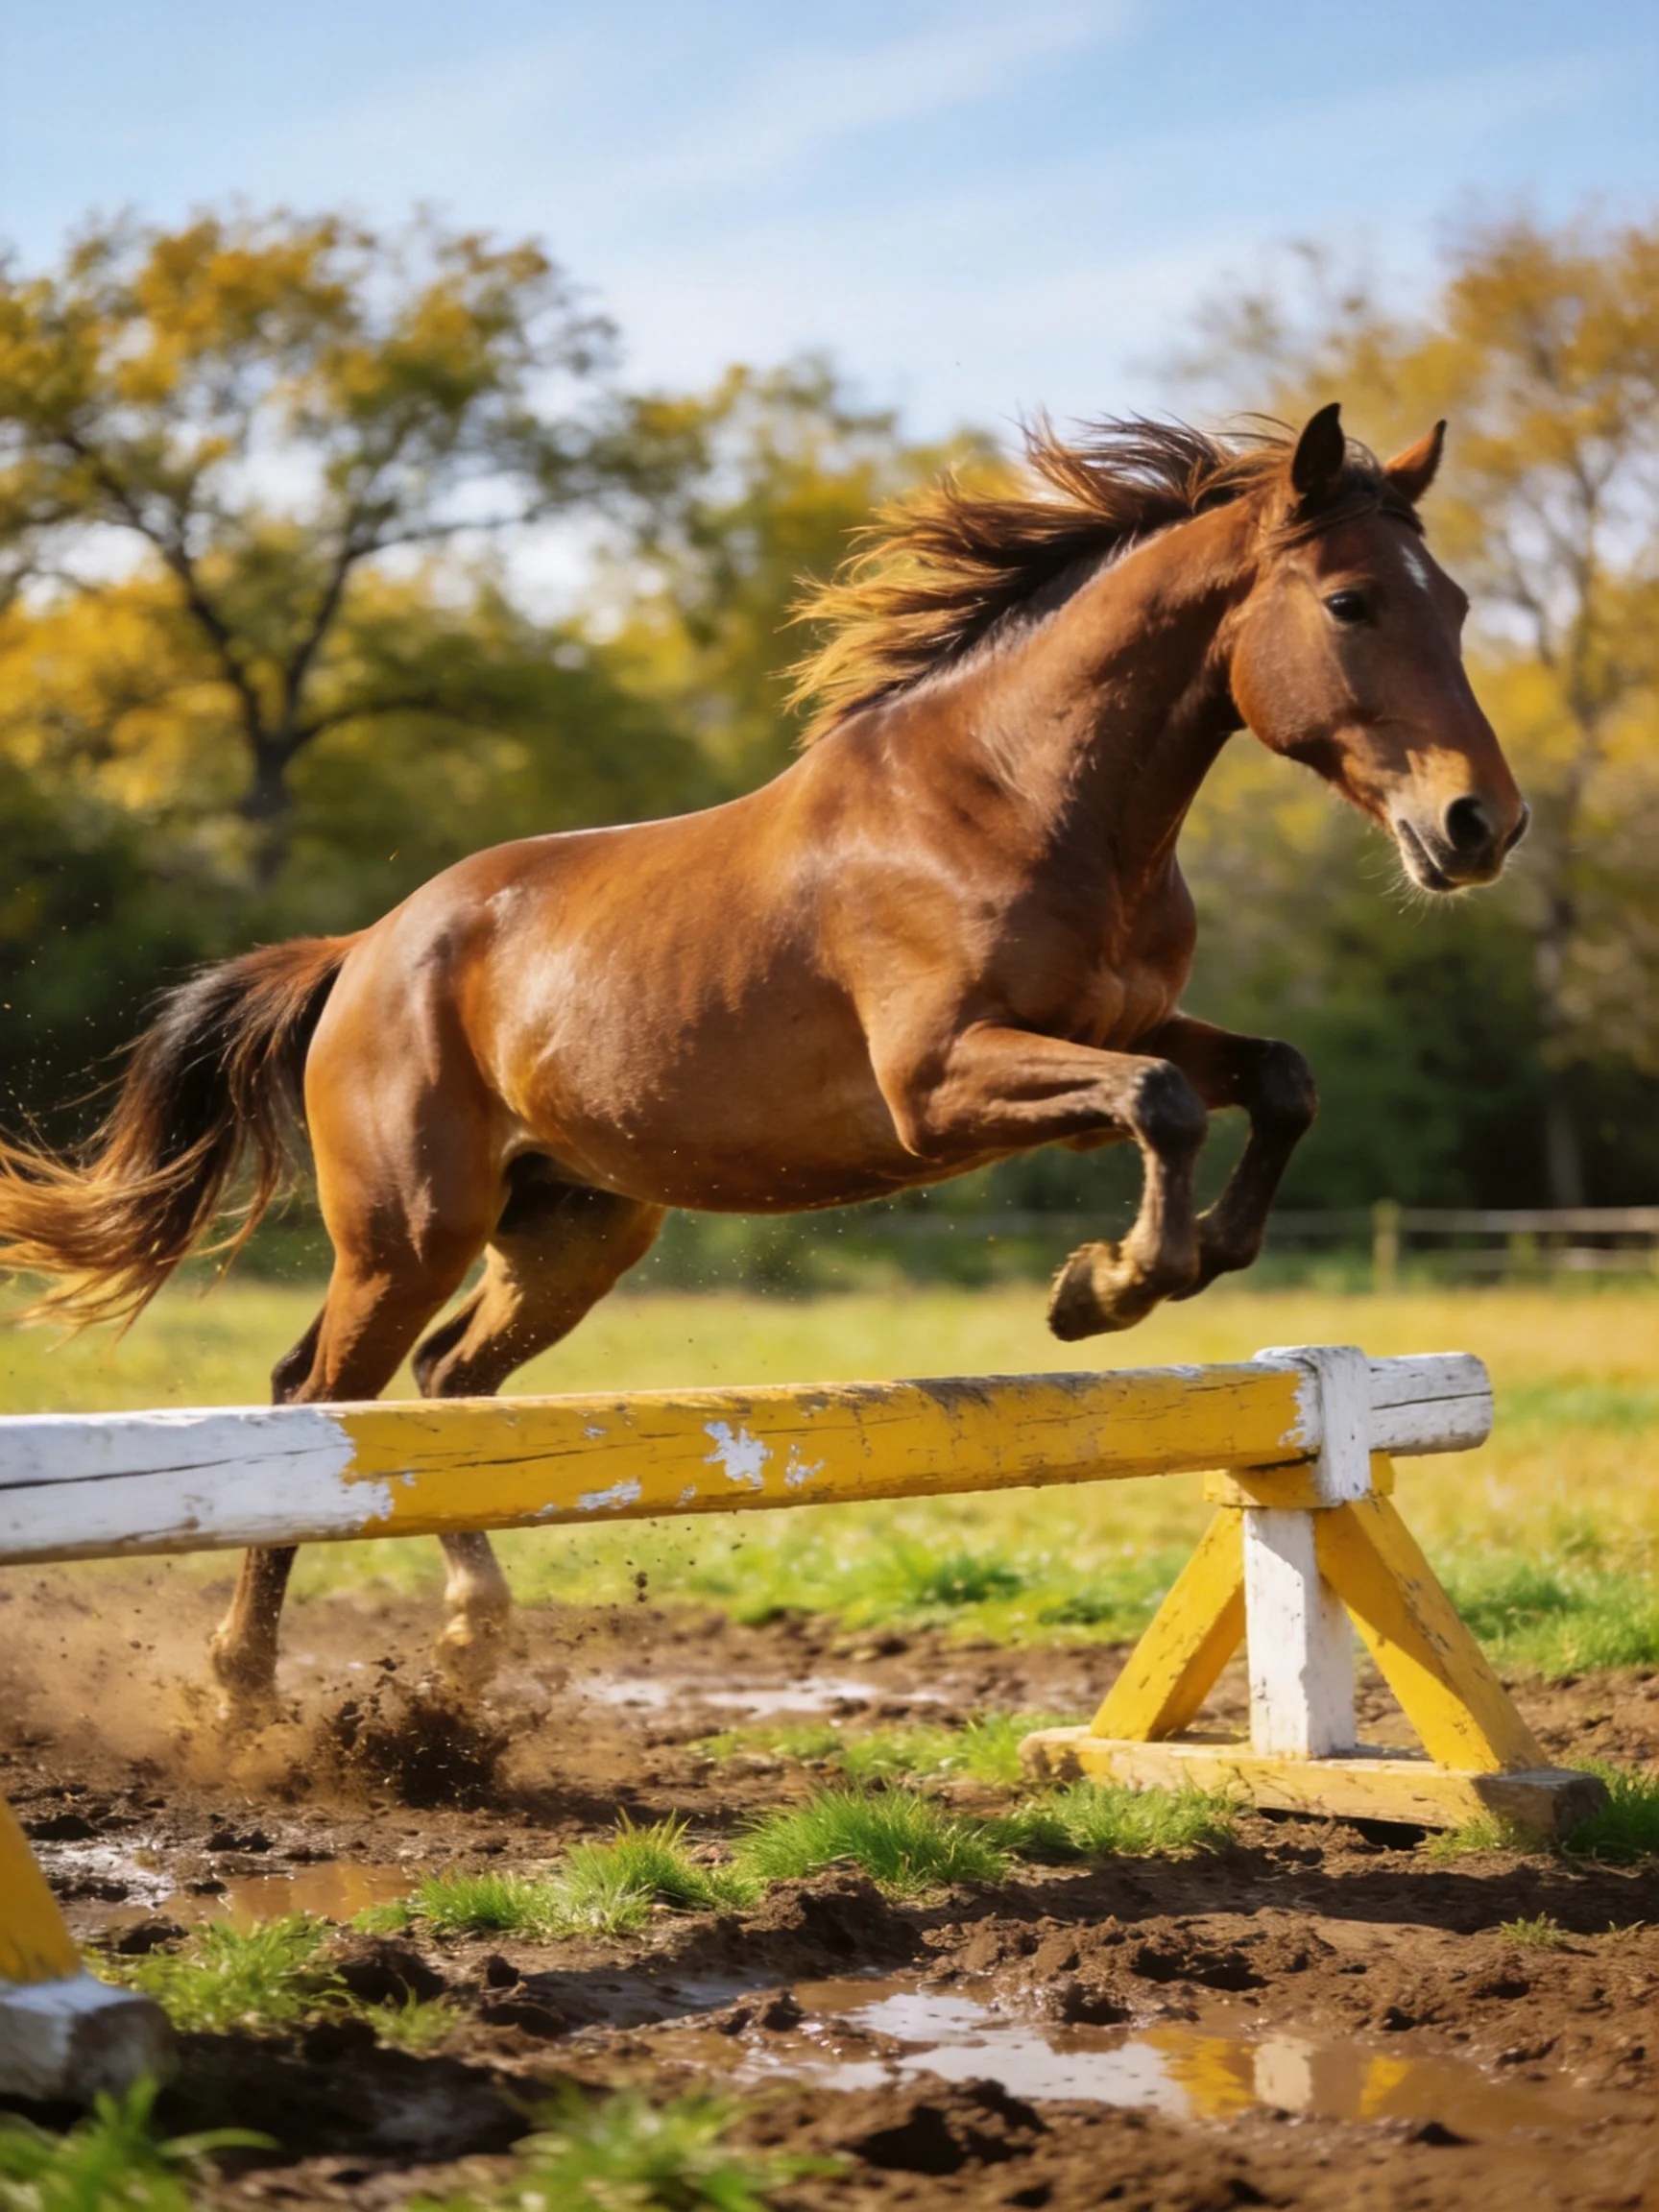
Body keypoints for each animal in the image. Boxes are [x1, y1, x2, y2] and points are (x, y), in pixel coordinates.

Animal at [0, 403, 1527, 1704]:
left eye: (1452, 604)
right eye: (1351, 603)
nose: (1482, 827)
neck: (1028, 798)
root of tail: (365, 951)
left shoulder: (1119, 1029)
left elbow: (1276, 1079)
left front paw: (1180, 1262)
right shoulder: (945, 1085)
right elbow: (1163, 1107)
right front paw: (1109, 1287)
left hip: (573, 1232)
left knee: (442, 1394)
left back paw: (470, 1641)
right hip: (409, 1228)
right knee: (320, 1400)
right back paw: (246, 1686)